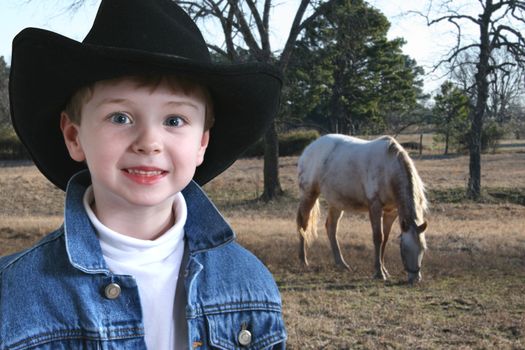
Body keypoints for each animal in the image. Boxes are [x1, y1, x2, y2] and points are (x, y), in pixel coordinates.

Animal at [294, 134, 426, 284]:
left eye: (422, 249)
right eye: (406, 249)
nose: (415, 278)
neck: (389, 169)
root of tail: (308, 149)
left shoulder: (391, 212)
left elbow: (385, 239)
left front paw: (384, 269)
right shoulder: (375, 207)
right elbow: (378, 237)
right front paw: (379, 272)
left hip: (336, 202)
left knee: (331, 227)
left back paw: (341, 263)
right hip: (309, 194)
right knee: (303, 224)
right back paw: (303, 260)